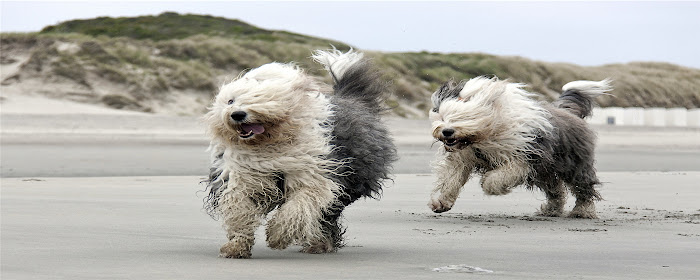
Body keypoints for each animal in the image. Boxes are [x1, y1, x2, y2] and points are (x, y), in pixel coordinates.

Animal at [205, 49, 396, 258]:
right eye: (230, 100)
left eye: (260, 97)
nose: (237, 114)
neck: (269, 145)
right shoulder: (240, 177)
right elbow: (239, 210)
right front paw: (236, 246)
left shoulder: (316, 177)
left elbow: (298, 207)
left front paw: (277, 235)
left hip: (349, 183)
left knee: (326, 215)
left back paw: (320, 243)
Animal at [424, 76, 608, 219]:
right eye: (442, 116)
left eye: (465, 117)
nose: (447, 131)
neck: (484, 136)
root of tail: (566, 111)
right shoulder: (463, 157)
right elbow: (452, 179)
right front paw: (442, 202)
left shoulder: (524, 156)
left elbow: (502, 175)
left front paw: (489, 184)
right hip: (546, 171)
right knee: (555, 190)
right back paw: (551, 210)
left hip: (574, 164)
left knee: (583, 188)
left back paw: (582, 211)